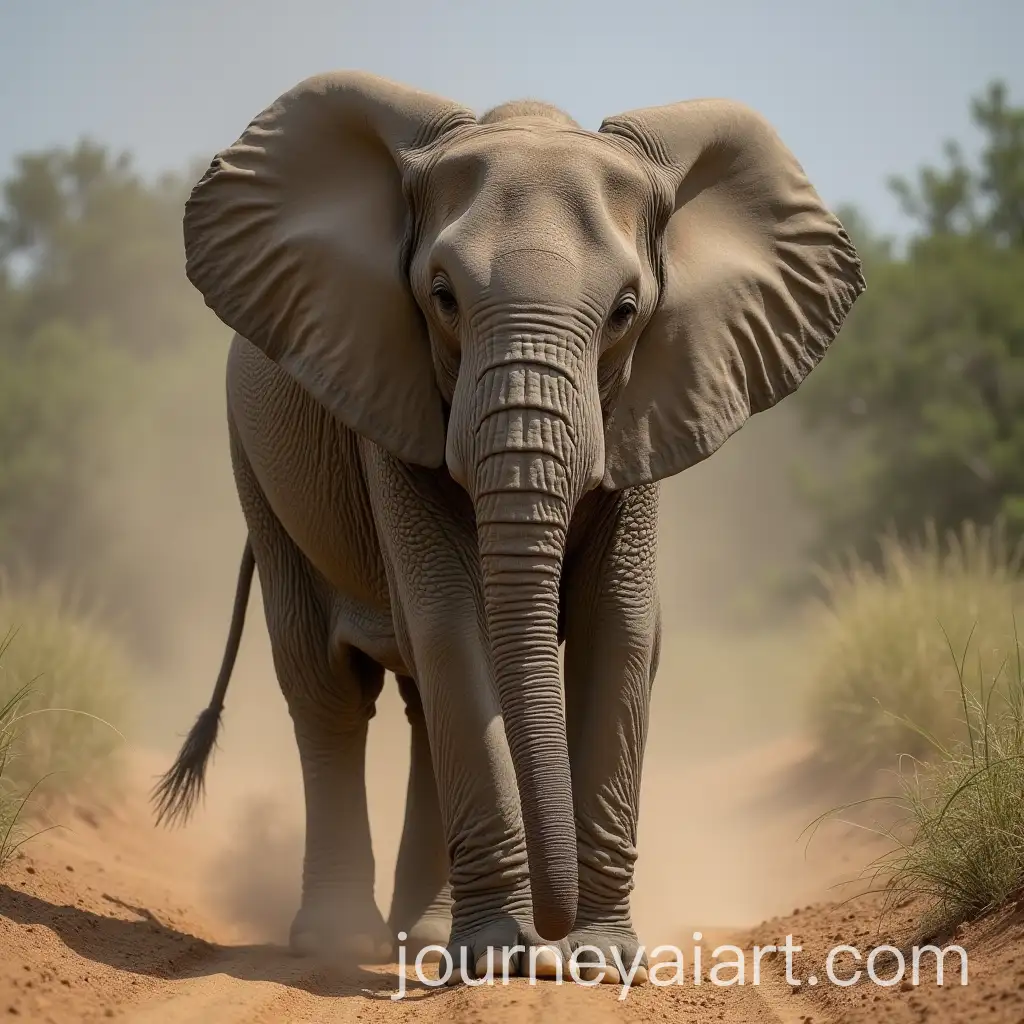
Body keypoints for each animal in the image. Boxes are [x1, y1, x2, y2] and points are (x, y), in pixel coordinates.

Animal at [153, 70, 864, 983]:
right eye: (442, 298)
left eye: (626, 311)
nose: (548, 943)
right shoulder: (389, 392)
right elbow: (452, 622)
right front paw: (497, 959)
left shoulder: (647, 406)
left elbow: (618, 626)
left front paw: (602, 962)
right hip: (256, 465)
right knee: (326, 683)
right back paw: (344, 942)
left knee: (419, 699)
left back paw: (419, 939)